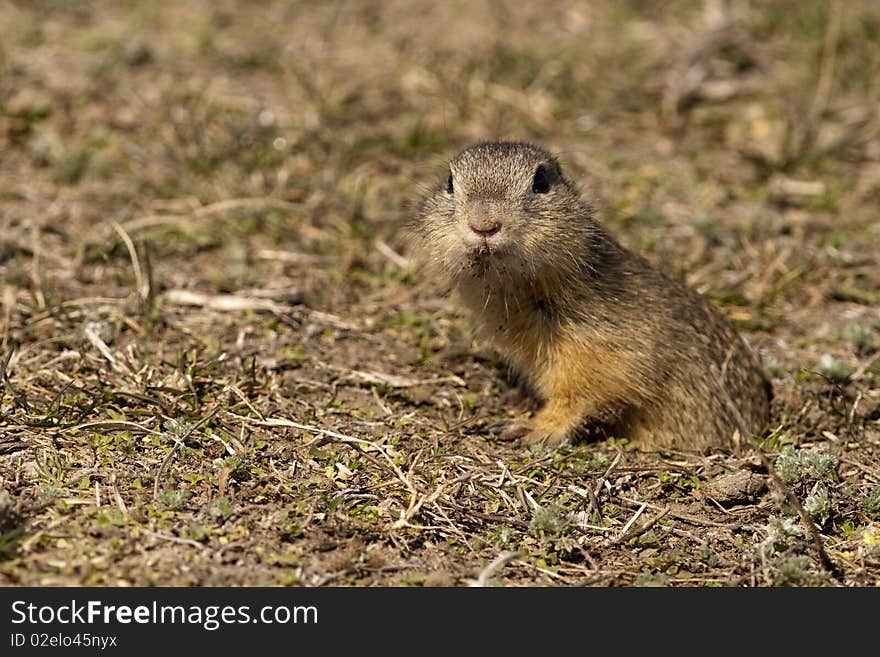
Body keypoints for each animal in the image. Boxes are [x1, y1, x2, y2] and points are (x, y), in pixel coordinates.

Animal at [416, 141, 768, 452]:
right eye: (450, 182)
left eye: (541, 181)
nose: (484, 225)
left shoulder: (607, 349)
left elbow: (583, 394)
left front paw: (530, 428)